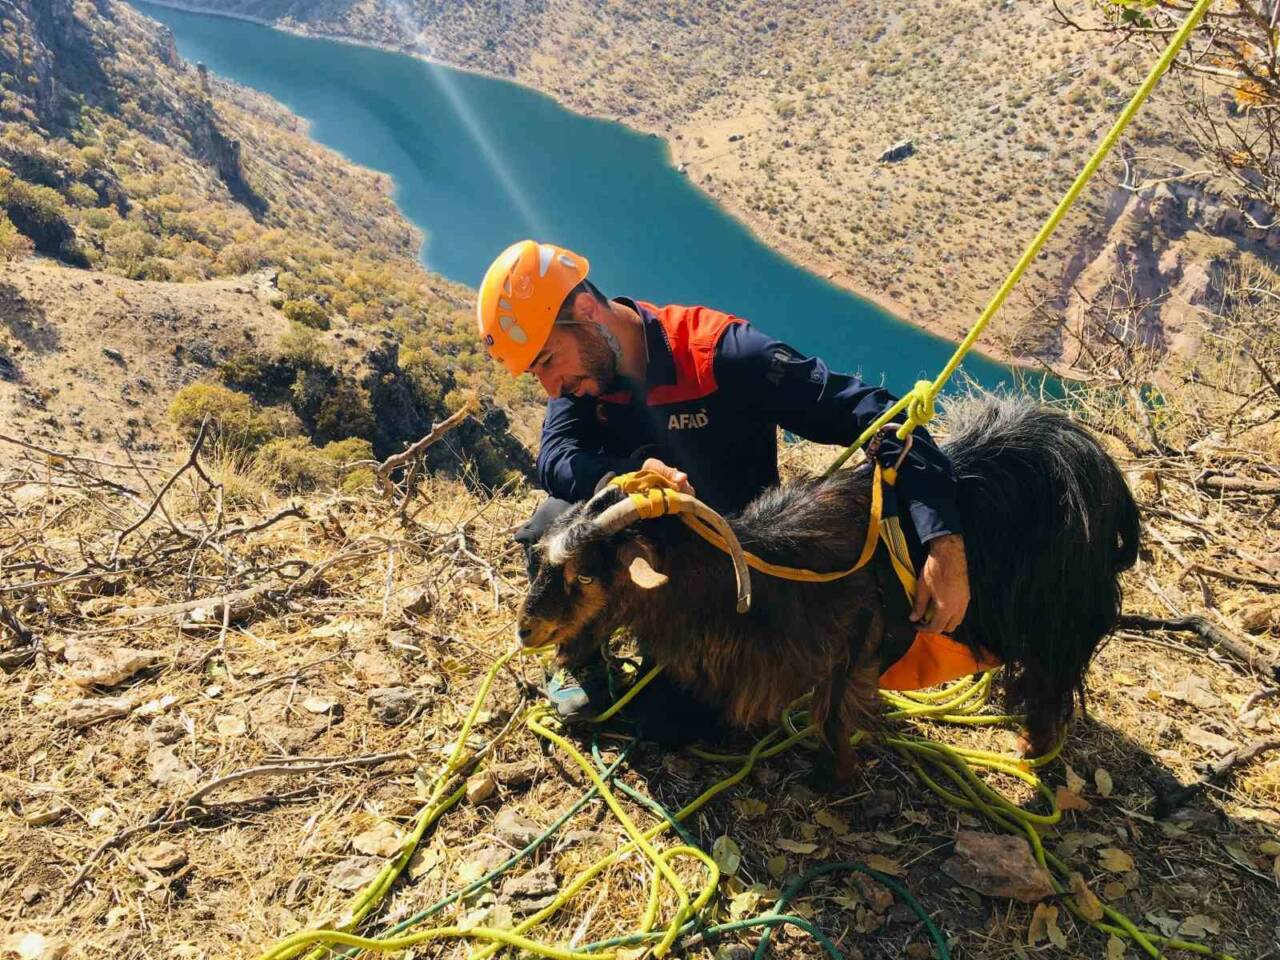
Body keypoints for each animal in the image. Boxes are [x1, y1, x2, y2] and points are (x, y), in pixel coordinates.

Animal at [519, 399, 1141, 788]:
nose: (527, 631)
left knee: (1050, 682)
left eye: (586, 574)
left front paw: (831, 781)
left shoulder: (854, 645)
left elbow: (835, 716)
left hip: (1059, 619)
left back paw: (1032, 745)